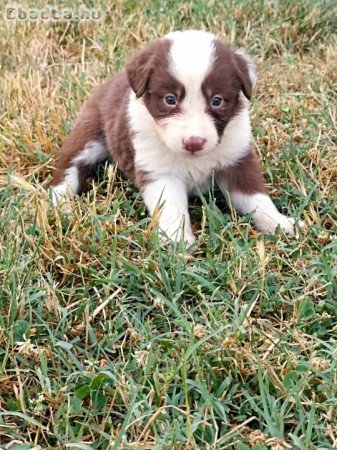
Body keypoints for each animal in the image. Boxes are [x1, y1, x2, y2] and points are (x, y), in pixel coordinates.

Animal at [51, 29, 304, 244]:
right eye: (170, 99)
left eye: (217, 100)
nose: (194, 142)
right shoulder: (159, 171)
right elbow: (170, 206)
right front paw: (177, 241)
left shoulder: (237, 158)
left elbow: (255, 197)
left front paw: (280, 223)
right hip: (88, 131)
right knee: (67, 168)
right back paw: (62, 206)